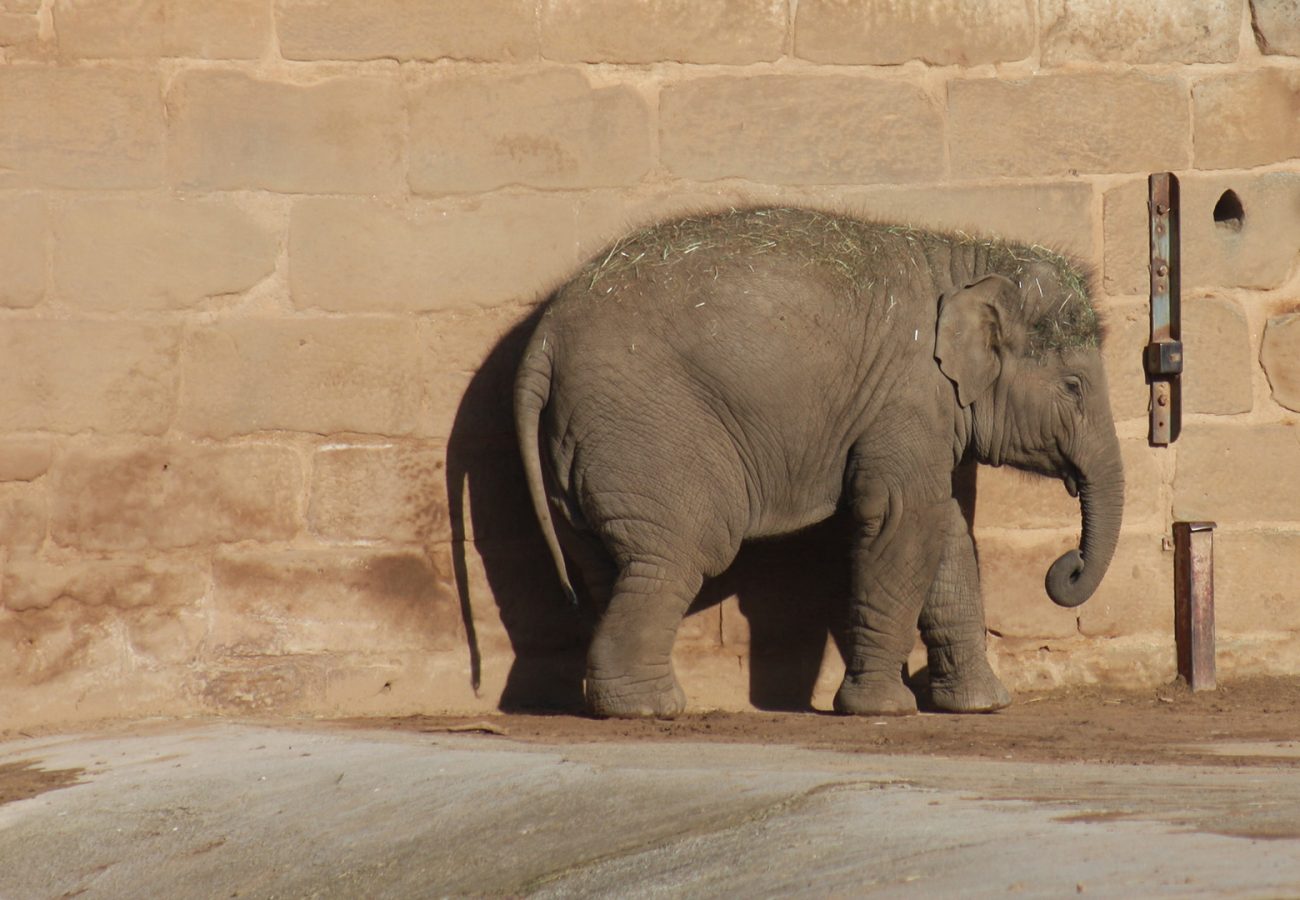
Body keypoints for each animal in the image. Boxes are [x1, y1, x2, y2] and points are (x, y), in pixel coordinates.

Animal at [512, 206, 1123, 723]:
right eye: (1074, 386)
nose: (1064, 568)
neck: (967, 258)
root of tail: (543, 340)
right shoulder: (907, 396)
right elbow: (903, 519)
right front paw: (883, 710)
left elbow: (945, 530)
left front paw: (982, 706)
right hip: (646, 431)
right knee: (681, 551)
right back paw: (652, 709)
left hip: (582, 446)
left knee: (604, 562)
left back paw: (624, 701)